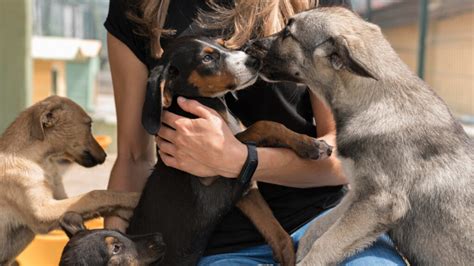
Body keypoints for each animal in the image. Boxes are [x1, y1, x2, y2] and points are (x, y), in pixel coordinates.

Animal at [0, 96, 139, 266]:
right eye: (89, 125)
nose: (105, 156)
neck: (39, 160)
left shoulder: (61, 201)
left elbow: (100, 204)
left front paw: (126, 209)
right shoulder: (42, 211)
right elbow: (95, 195)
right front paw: (134, 197)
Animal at [248, 6, 474, 266]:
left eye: (288, 33)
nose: (249, 45)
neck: (375, 100)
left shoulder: (377, 202)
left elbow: (325, 243)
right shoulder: (356, 193)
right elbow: (316, 230)